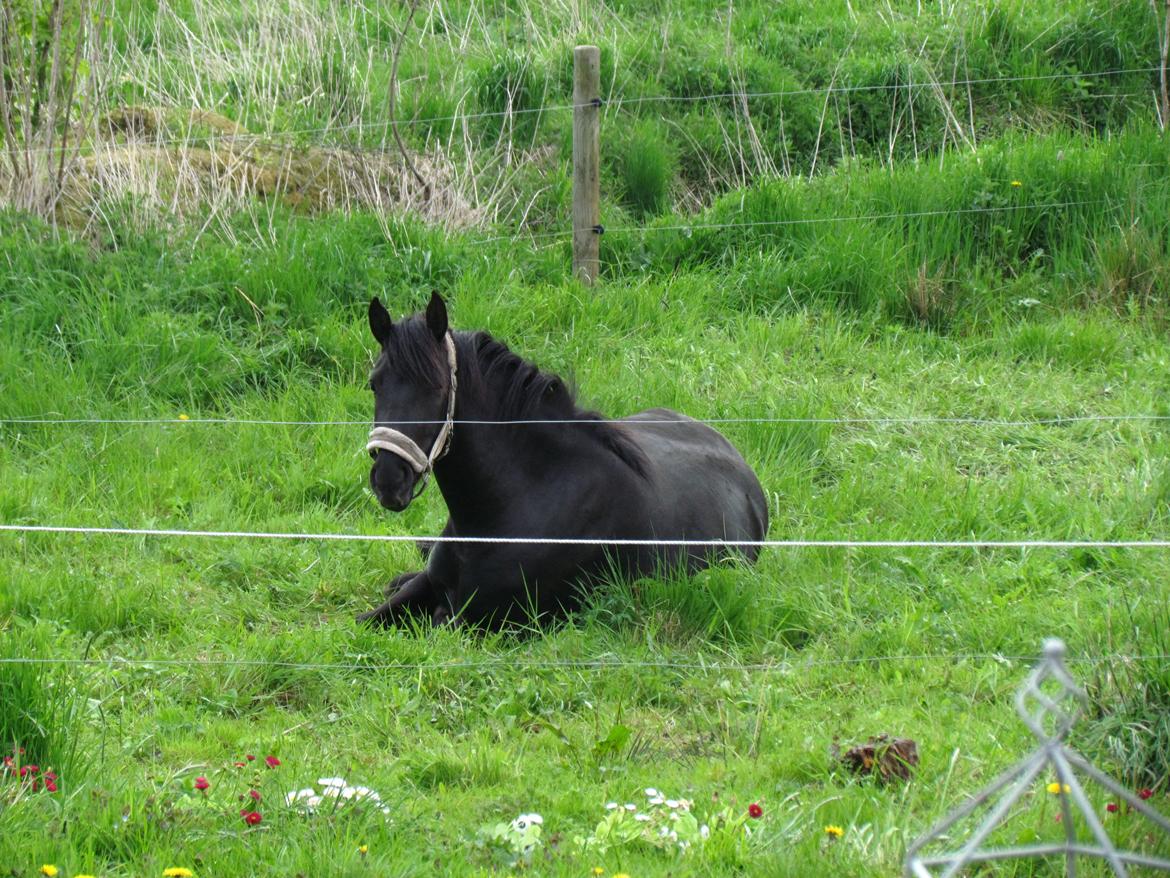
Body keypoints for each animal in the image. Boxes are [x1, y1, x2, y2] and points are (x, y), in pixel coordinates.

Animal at [360, 296, 772, 632]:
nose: (389, 480)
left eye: (438, 387)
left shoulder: (486, 621)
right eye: (374, 384)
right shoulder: (428, 587)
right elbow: (364, 620)